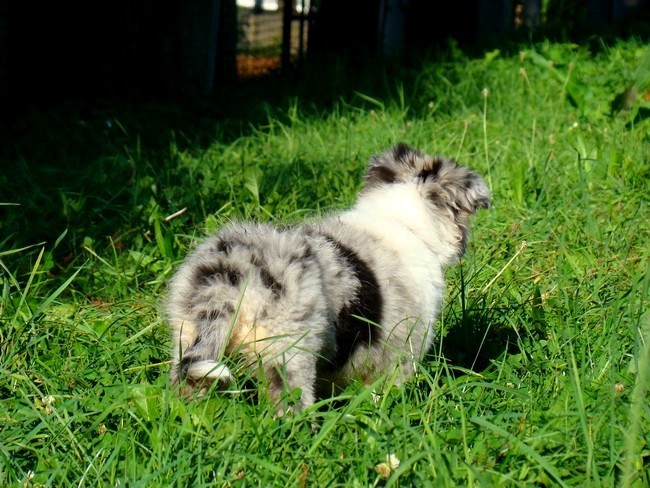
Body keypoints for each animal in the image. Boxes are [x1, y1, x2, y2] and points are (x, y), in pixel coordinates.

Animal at [165, 144, 488, 412]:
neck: (401, 221)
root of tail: (229, 277)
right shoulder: (402, 352)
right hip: (287, 348)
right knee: (289, 401)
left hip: (187, 334)